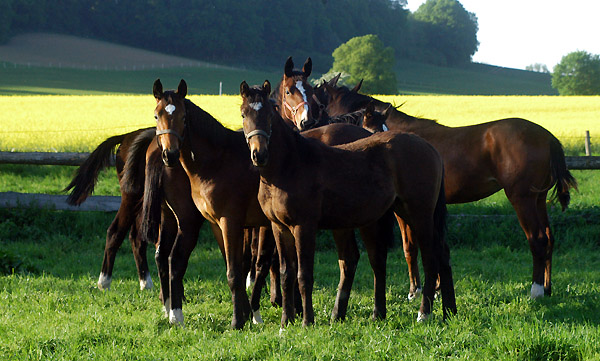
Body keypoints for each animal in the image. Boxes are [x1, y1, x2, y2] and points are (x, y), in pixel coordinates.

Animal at [239, 79, 454, 326]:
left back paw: (424, 312)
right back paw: (448, 310)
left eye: (268, 114)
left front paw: (307, 321)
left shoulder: (304, 227)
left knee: (430, 257)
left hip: (419, 214)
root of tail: (430, 148)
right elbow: (286, 273)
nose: (259, 154)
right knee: (439, 253)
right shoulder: (279, 227)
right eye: (244, 114)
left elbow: (304, 275)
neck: (290, 165)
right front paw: (286, 322)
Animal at [318, 81, 576, 298]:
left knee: (538, 239)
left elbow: (410, 247)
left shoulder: (403, 211)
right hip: (538, 199)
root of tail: (548, 137)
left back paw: (536, 291)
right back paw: (547, 288)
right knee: (549, 238)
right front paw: (436, 287)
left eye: (320, 102)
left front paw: (416, 291)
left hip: (522, 199)